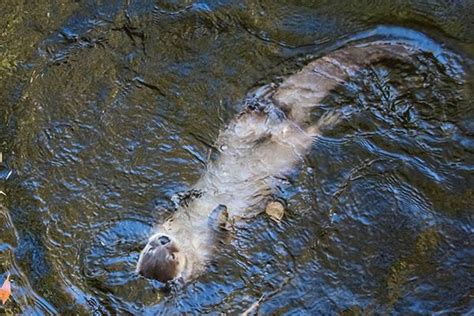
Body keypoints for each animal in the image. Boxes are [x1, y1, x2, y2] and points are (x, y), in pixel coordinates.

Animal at [135, 41, 416, 282]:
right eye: (163, 253)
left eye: (155, 245)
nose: (162, 241)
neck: (189, 232)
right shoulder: (210, 247)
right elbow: (223, 233)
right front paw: (221, 212)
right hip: (296, 142)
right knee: (308, 132)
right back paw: (332, 117)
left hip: (243, 127)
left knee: (261, 114)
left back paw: (265, 97)